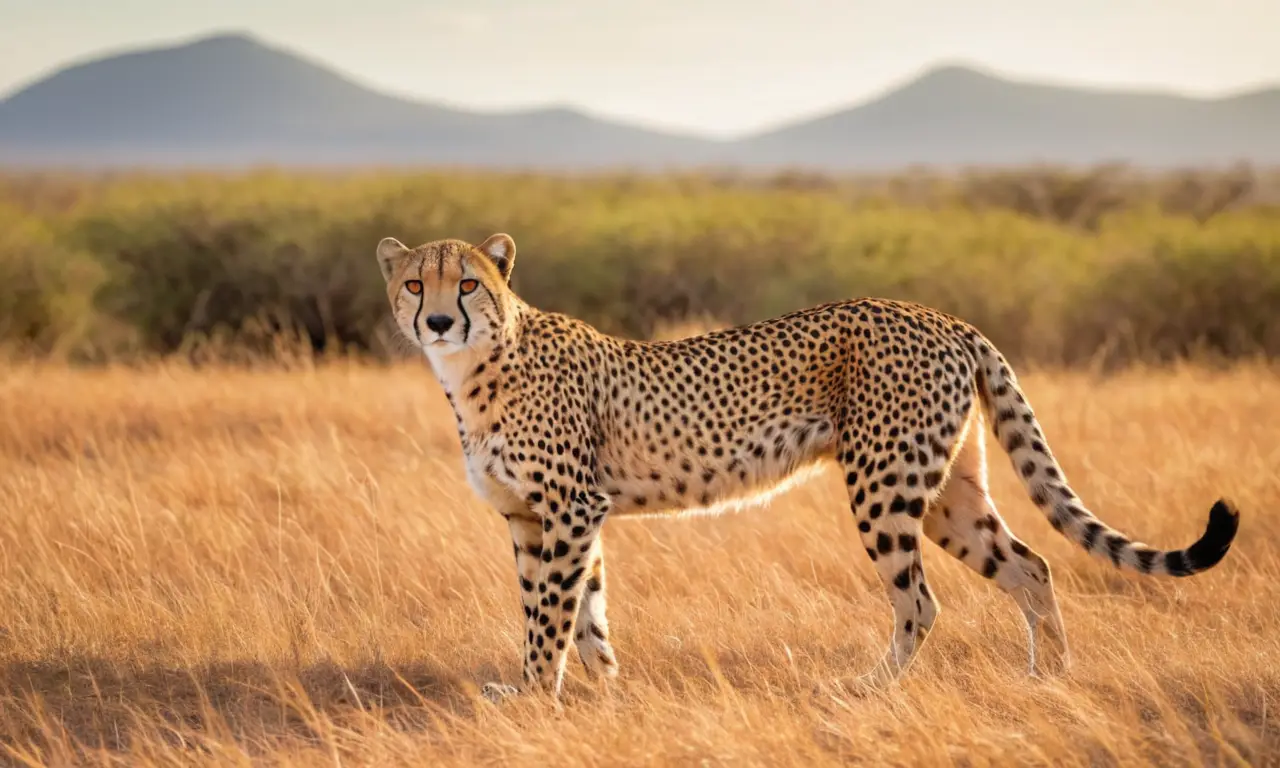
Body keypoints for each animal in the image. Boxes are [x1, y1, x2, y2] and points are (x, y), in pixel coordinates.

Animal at [375, 232, 1241, 702]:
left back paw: (868, 689)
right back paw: (1050, 680)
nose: (440, 320)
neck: (478, 369)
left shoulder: (569, 509)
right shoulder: (541, 518)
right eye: (416, 283)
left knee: (921, 601)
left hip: (885, 486)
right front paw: (599, 690)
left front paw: (532, 694)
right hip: (948, 493)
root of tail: (939, 316)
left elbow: (547, 613)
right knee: (1031, 567)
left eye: (469, 283)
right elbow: (580, 610)